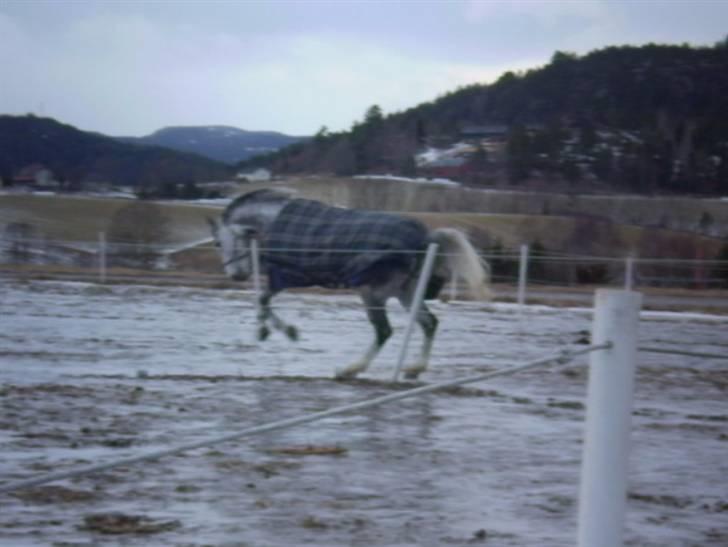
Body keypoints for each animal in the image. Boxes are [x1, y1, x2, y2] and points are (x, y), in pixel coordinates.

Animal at [209, 191, 490, 378]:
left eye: (220, 242)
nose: (235, 275)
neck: (276, 220)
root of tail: (425, 239)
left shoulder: (287, 275)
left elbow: (262, 300)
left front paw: (283, 331)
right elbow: (263, 302)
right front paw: (270, 331)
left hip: (373, 293)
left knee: (384, 331)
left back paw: (350, 369)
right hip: (407, 293)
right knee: (429, 323)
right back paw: (414, 368)